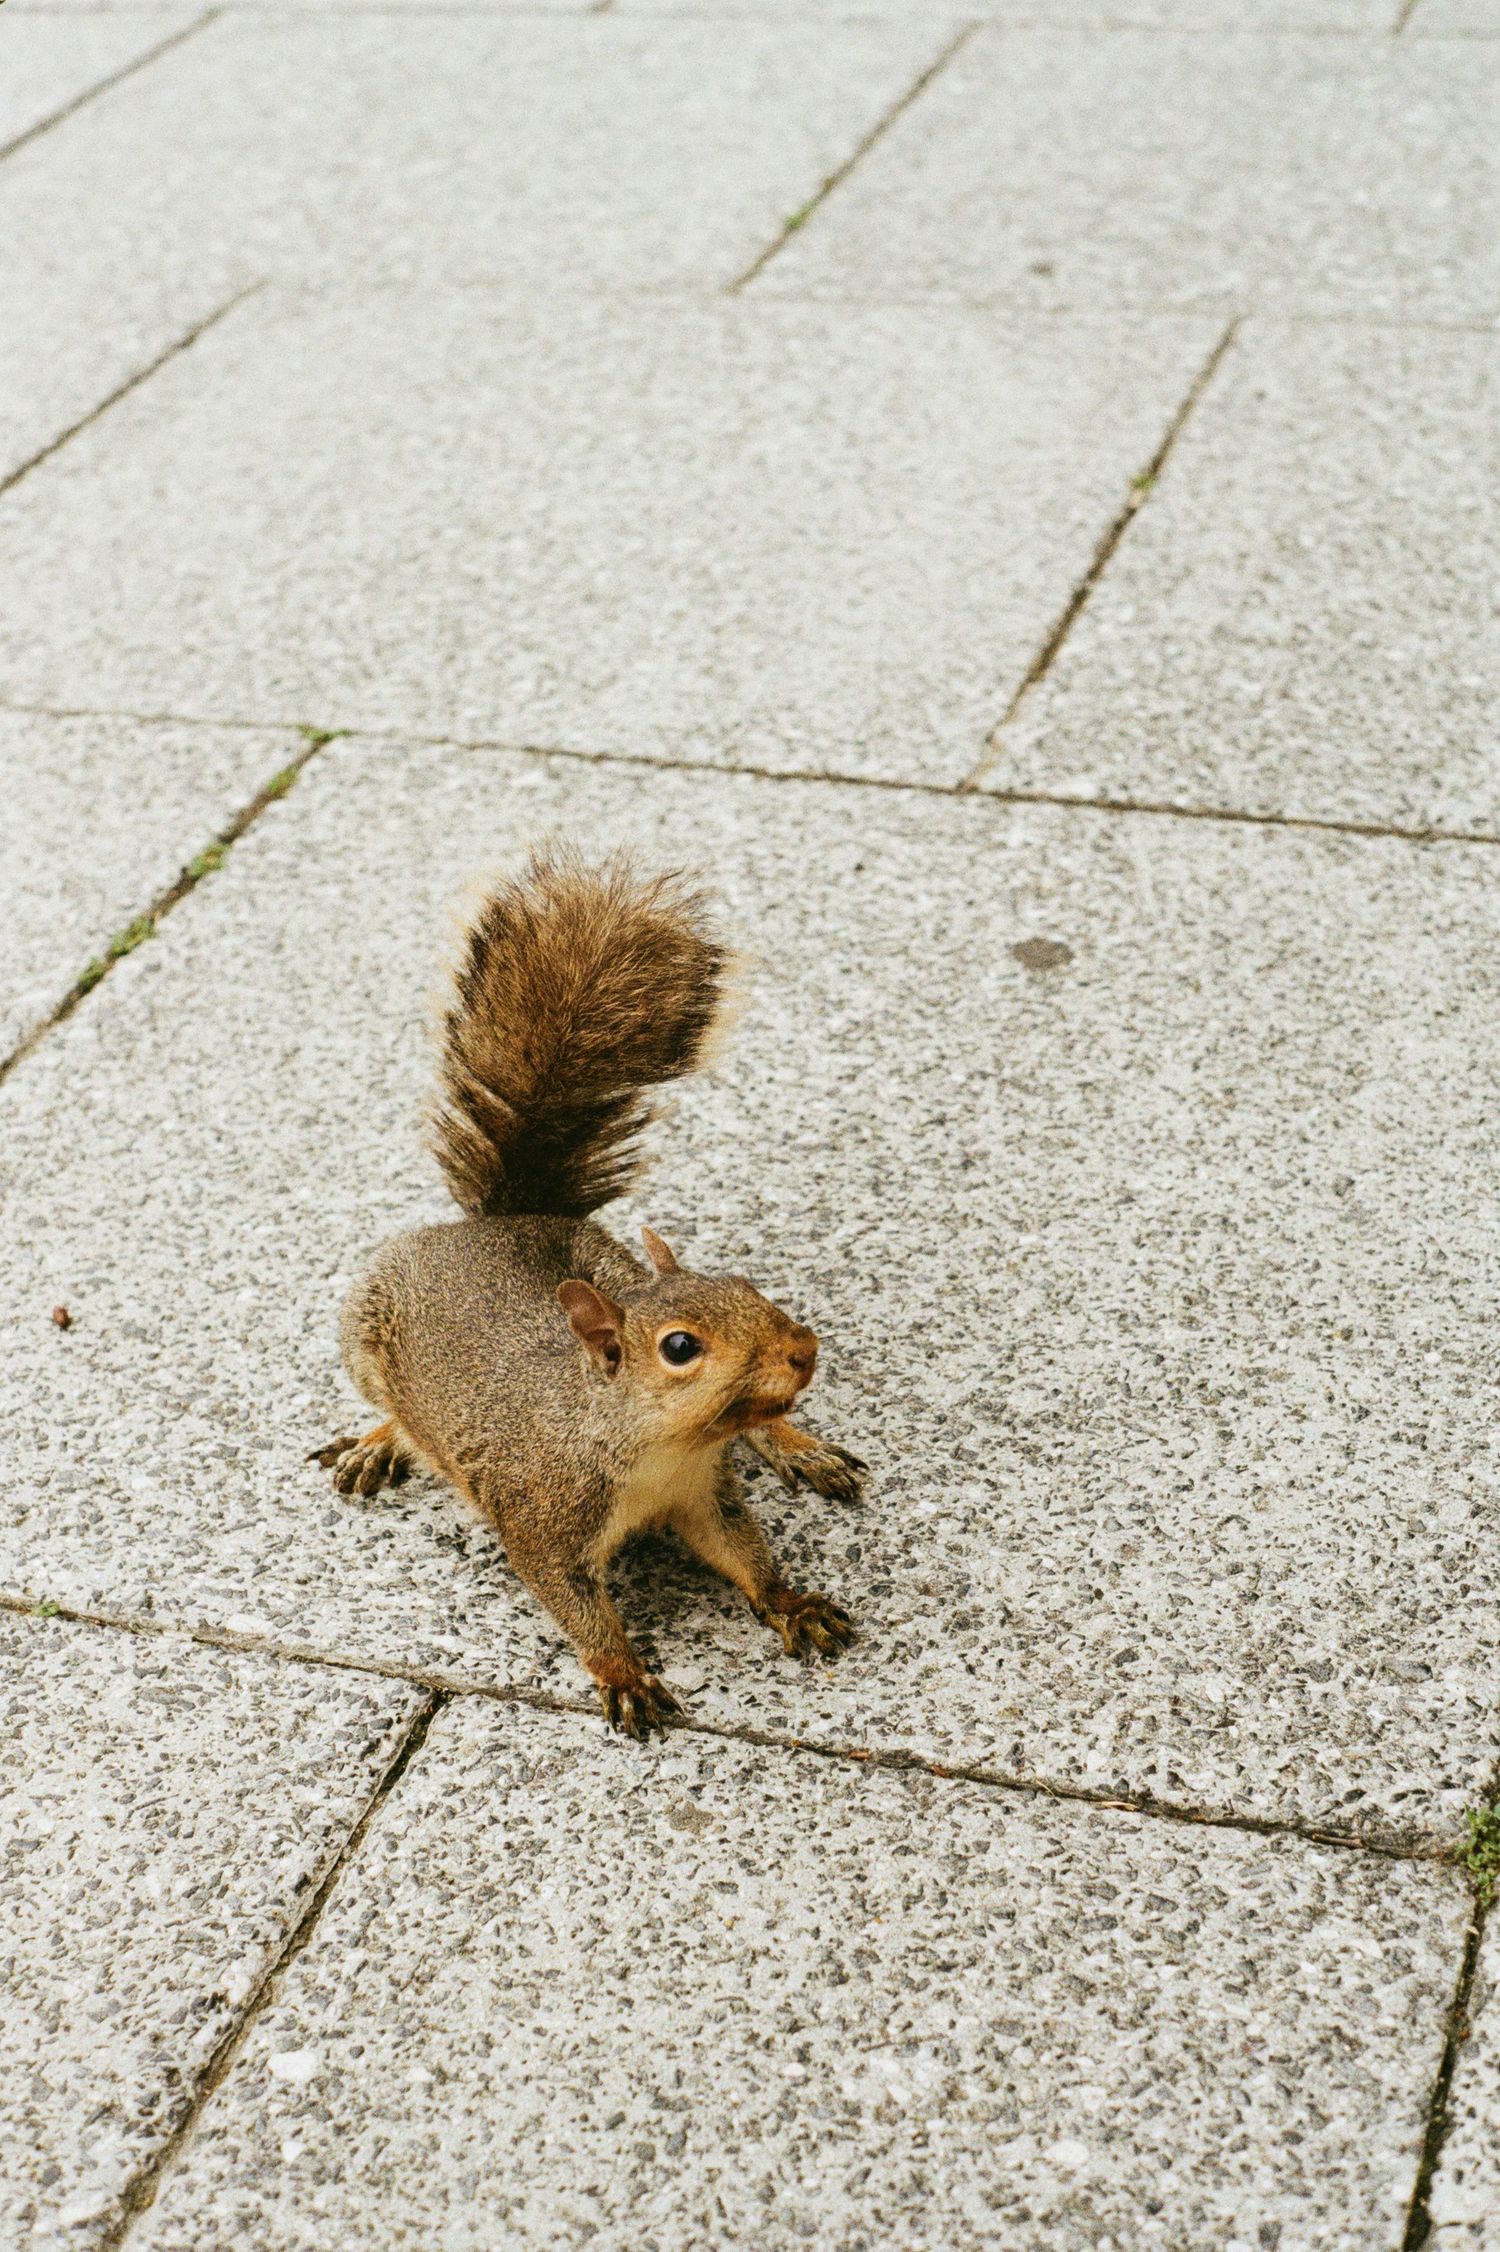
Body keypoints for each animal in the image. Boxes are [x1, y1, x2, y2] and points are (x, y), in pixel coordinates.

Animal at [312, 847, 866, 1740]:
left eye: (742, 1282)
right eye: (679, 1347)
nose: (803, 1350)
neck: (662, 1451)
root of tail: (508, 1219)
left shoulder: (707, 1496)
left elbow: (745, 1551)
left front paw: (790, 1600)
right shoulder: (545, 1523)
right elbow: (577, 1609)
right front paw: (624, 1674)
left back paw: (800, 1447)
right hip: (364, 1336)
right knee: (395, 1409)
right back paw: (381, 1442)